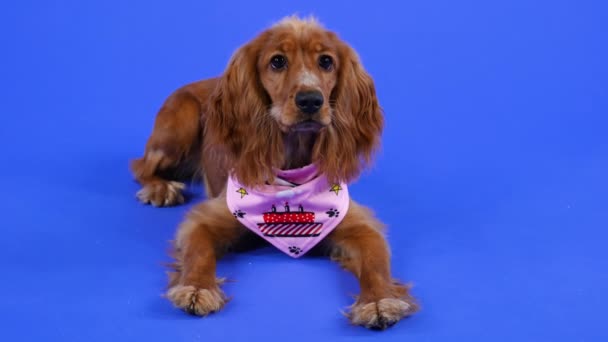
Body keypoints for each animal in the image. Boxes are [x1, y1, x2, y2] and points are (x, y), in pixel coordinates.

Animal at [132, 15, 418, 328]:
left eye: (326, 61)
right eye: (277, 61)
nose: (310, 100)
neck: (291, 171)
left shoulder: (357, 223)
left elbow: (375, 262)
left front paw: (378, 300)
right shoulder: (205, 218)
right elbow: (199, 253)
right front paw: (196, 287)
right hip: (180, 124)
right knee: (140, 165)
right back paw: (160, 188)